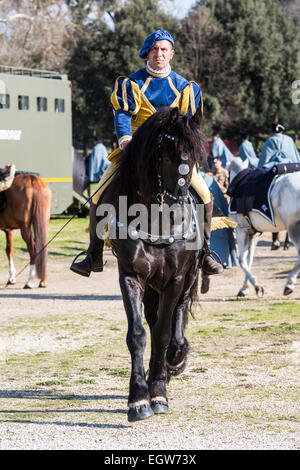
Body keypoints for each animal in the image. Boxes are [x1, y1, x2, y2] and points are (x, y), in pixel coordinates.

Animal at [98, 106, 206, 422]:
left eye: (193, 157)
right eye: (167, 155)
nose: (178, 209)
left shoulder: (176, 279)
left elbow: (162, 332)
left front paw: (158, 392)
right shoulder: (131, 276)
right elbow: (138, 334)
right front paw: (138, 399)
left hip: (188, 277)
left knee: (177, 315)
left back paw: (175, 357)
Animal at [229, 160, 300, 296]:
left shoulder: (241, 230)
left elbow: (242, 260)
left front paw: (256, 286)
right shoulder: (253, 234)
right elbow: (249, 260)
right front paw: (245, 287)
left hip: (293, 228)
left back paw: (289, 283)